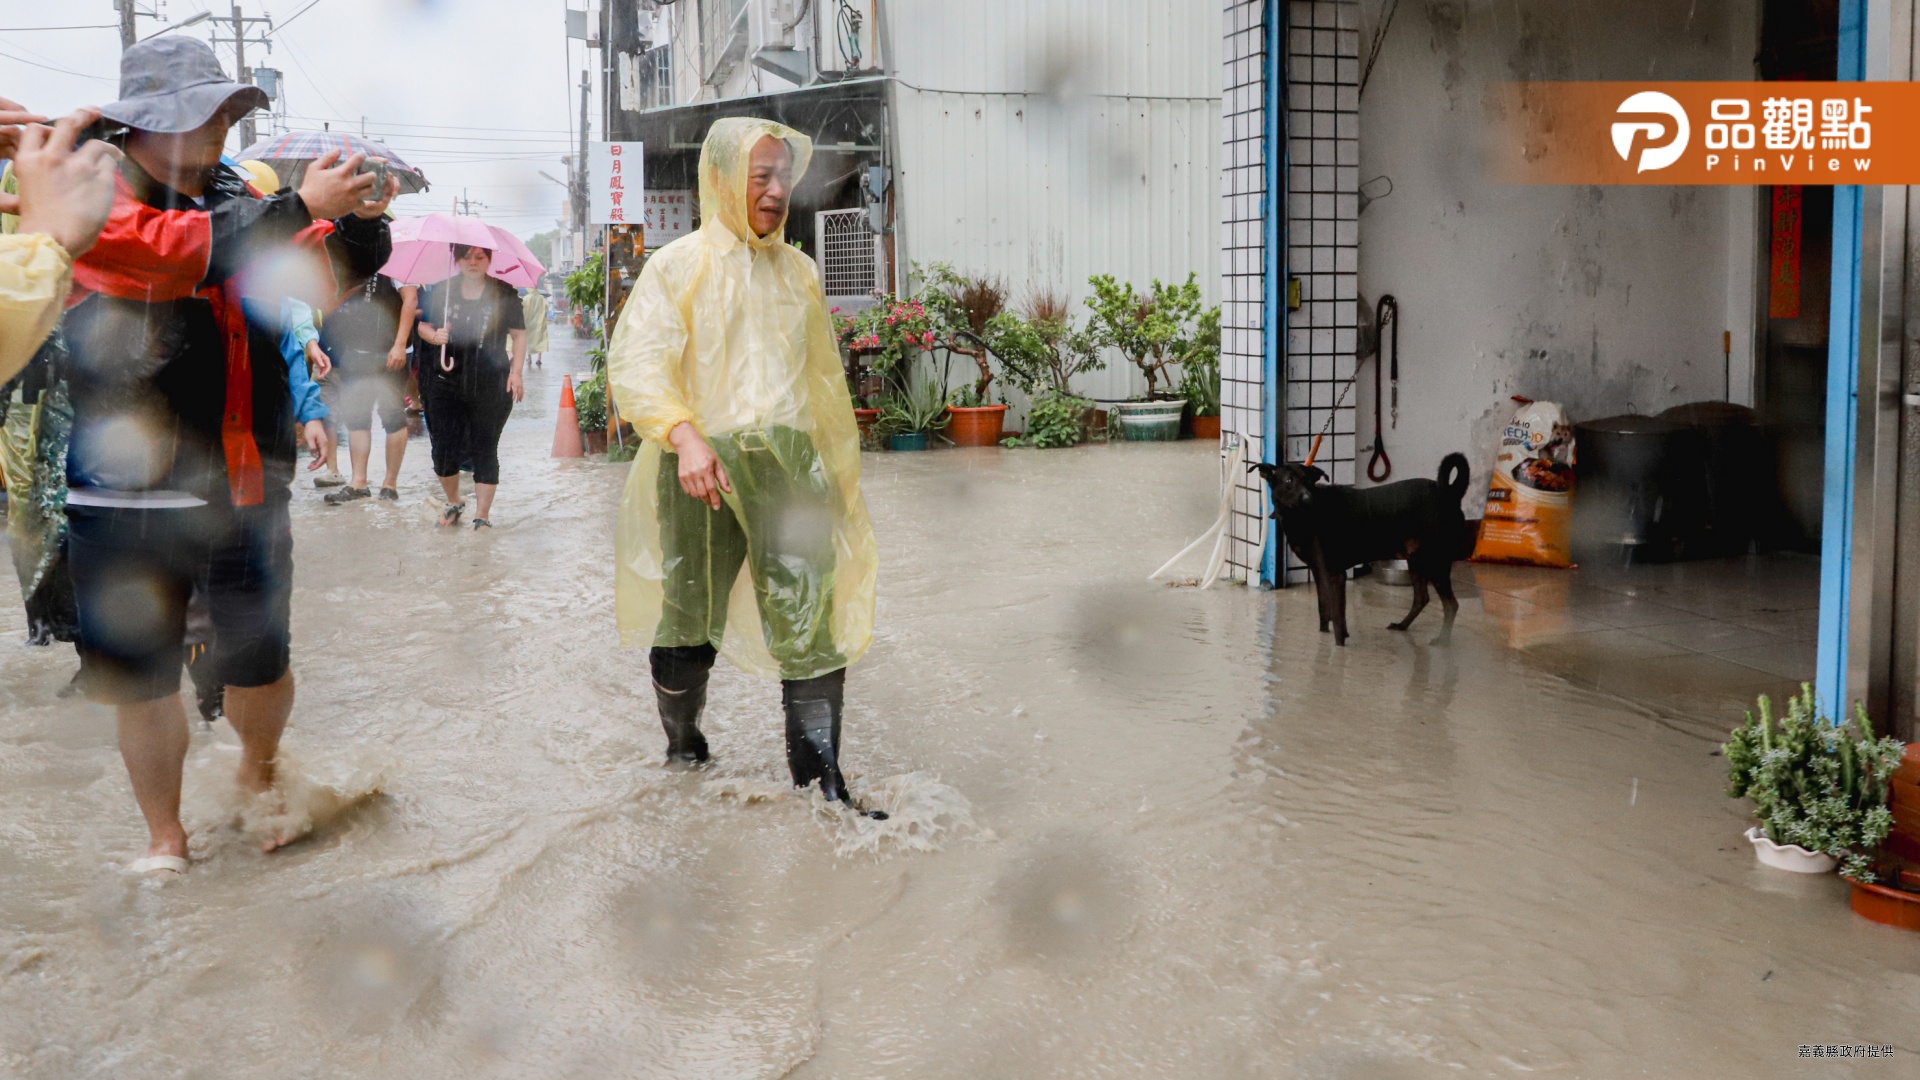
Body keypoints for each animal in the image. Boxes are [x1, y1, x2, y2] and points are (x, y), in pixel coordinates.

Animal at [1251, 451, 1474, 641]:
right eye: (1289, 480)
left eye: (1309, 481)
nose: (1308, 497)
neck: (1304, 516)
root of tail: (1450, 494)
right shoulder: (1319, 571)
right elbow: (1324, 610)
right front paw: (1325, 637)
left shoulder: (1335, 574)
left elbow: (1338, 617)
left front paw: (1339, 646)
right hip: (1416, 560)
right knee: (1422, 598)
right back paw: (1402, 626)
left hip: (1436, 561)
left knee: (1451, 605)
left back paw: (1442, 641)